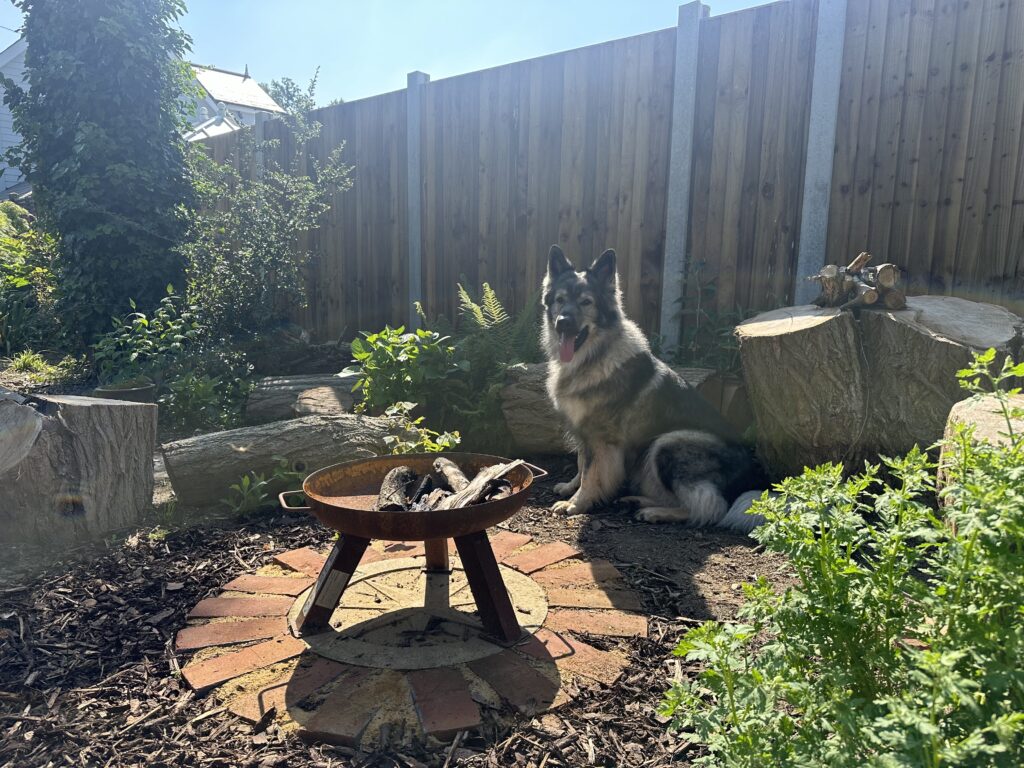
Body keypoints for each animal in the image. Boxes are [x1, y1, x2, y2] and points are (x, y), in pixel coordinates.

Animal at [540, 246, 765, 536]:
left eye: (586, 302)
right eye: (560, 300)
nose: (563, 322)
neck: (594, 356)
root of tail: (751, 479)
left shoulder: (601, 439)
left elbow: (591, 472)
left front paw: (578, 503)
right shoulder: (584, 433)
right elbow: (581, 463)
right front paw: (571, 488)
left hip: (667, 443)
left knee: (710, 509)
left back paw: (656, 513)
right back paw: (638, 501)